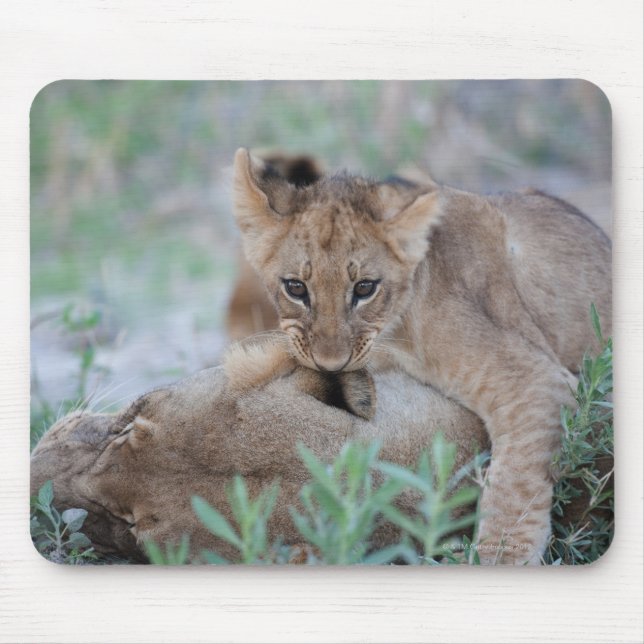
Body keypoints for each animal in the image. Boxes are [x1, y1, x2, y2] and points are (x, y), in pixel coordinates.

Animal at [232, 149, 612, 563]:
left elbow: (513, 491)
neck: (396, 330)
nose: (330, 364)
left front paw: (496, 559)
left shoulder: (536, 382)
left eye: (365, 288)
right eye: (296, 288)